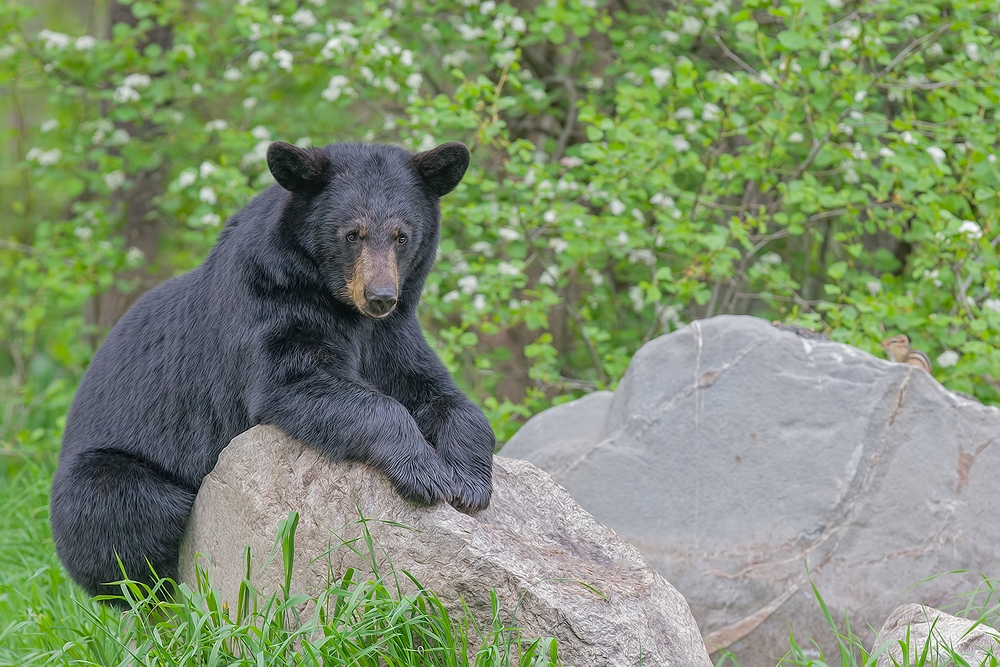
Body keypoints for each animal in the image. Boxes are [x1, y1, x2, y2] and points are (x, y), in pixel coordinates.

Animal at [50, 141, 496, 600]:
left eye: (401, 236)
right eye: (351, 234)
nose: (380, 296)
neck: (337, 302)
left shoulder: (391, 332)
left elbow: (433, 389)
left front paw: (468, 479)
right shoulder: (270, 303)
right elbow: (295, 381)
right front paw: (425, 472)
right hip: (104, 482)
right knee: (129, 519)